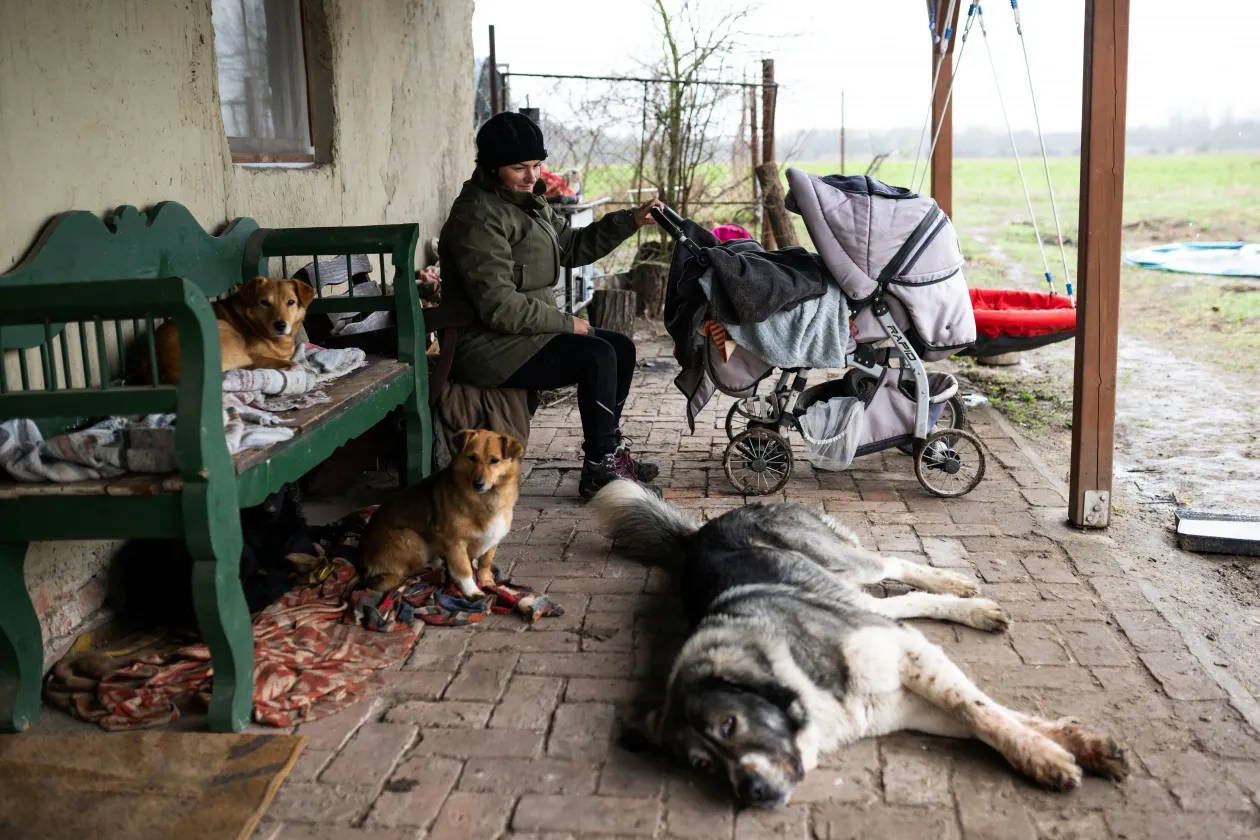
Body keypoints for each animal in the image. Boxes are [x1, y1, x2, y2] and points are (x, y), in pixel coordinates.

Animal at [360, 433, 526, 596]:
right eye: (472, 458)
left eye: (494, 461)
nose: (478, 483)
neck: (485, 499)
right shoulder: (455, 544)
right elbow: (464, 570)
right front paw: (473, 592)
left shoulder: (493, 538)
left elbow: (485, 562)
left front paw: (487, 582)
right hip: (411, 536)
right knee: (403, 573)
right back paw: (428, 569)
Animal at [592, 483, 1134, 811]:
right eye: (701, 765)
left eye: (729, 725)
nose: (752, 794)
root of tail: (697, 533)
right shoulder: (909, 698)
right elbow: (995, 717)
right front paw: (1075, 745)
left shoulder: (913, 658)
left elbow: (982, 712)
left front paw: (1047, 756)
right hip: (854, 596)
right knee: (901, 602)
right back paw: (972, 607)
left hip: (847, 565)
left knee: (895, 565)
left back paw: (960, 589)